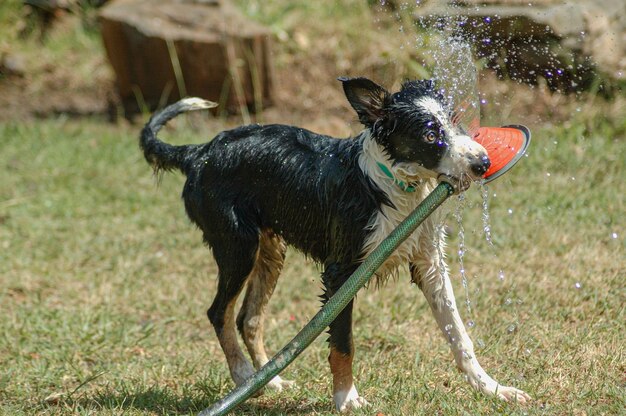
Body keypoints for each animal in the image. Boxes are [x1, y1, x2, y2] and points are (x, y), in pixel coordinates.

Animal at [139, 77, 528, 410]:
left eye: (456, 120)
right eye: (431, 135)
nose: (483, 162)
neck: (390, 184)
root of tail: (199, 152)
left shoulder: (429, 264)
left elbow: (459, 335)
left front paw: (493, 388)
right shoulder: (341, 273)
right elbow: (343, 344)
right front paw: (347, 399)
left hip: (270, 250)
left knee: (248, 318)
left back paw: (270, 382)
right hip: (237, 246)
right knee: (219, 312)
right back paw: (245, 378)